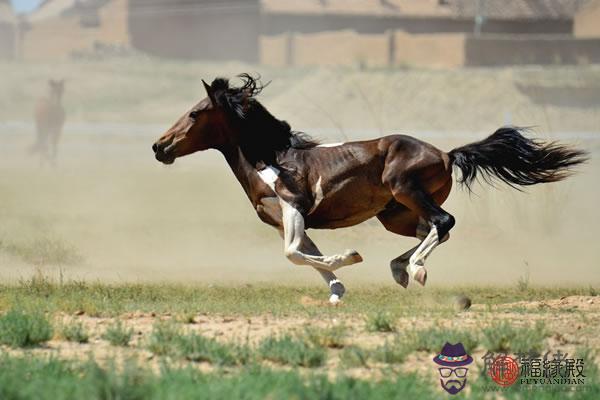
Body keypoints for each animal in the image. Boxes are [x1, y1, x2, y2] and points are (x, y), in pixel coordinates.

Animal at [151, 74, 584, 304]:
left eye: (195, 113)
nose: (159, 146)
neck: (270, 159)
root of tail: (446, 153)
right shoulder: (289, 220)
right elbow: (308, 256)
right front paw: (336, 291)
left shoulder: (293, 209)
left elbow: (294, 254)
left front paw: (351, 258)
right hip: (395, 215)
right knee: (433, 229)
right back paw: (400, 269)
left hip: (406, 190)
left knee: (443, 222)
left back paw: (415, 269)